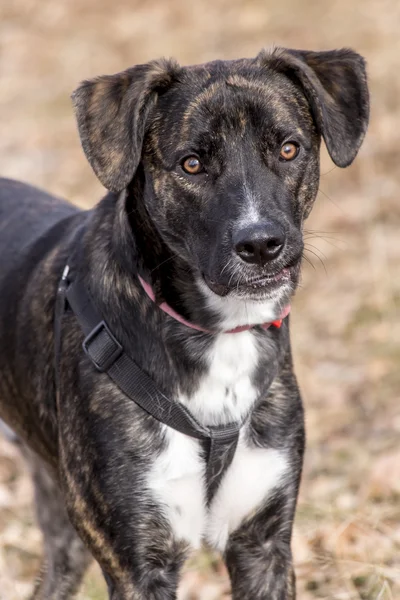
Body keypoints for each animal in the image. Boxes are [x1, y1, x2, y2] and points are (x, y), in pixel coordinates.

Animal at [0, 48, 368, 600]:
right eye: (191, 163)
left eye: (288, 149)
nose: (261, 245)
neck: (218, 334)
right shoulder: (138, 563)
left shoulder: (263, 545)